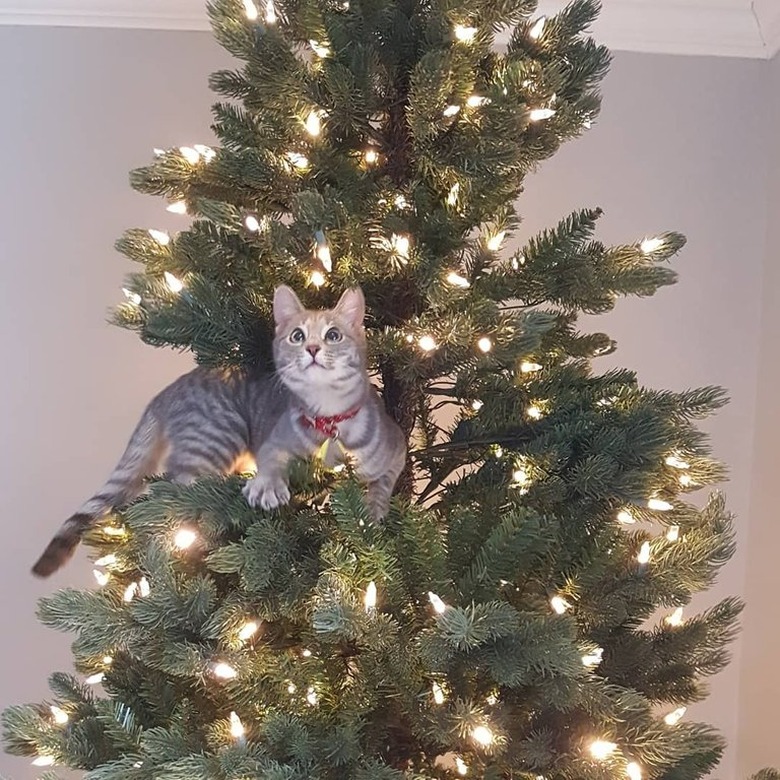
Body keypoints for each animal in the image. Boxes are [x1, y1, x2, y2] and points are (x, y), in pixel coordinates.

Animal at [32, 288, 408, 580]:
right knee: (174, 489)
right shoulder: (275, 439)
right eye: (297, 335)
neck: (329, 420)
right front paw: (266, 485)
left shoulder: (398, 446)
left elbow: (383, 485)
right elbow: (273, 460)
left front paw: (372, 511)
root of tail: (167, 391)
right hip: (219, 434)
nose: (312, 348)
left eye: (333, 335)